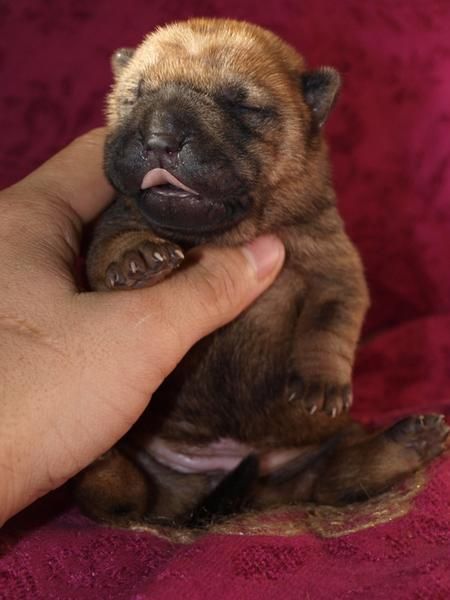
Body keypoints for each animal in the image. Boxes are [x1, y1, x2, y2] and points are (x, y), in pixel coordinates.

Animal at [76, 17, 446, 524]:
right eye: (134, 96)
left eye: (243, 106)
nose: (158, 139)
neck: (228, 234)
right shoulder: (113, 221)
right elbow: (111, 245)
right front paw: (137, 259)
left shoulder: (333, 262)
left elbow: (330, 319)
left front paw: (321, 384)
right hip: (148, 466)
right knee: (120, 499)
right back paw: (98, 459)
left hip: (324, 444)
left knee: (338, 478)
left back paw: (410, 439)